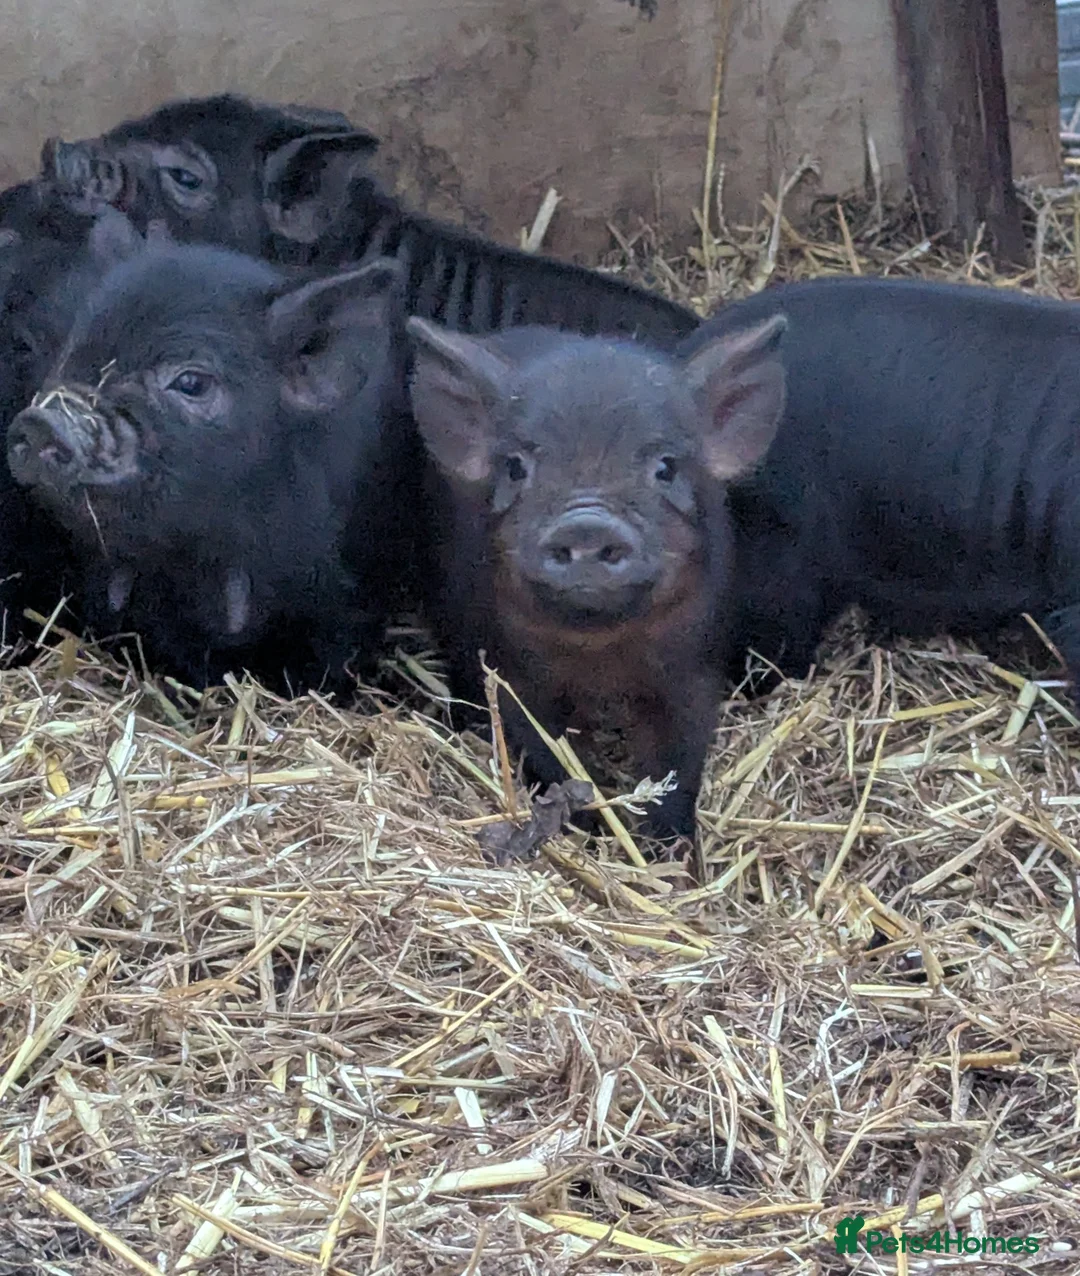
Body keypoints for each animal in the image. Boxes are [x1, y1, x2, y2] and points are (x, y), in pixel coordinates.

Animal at [405, 312, 787, 852]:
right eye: (516, 466)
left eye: (666, 466)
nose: (587, 523)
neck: (602, 658)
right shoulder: (515, 671)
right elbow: (548, 752)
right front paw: (585, 832)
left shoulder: (693, 666)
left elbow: (678, 764)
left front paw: (669, 852)